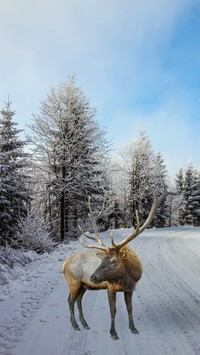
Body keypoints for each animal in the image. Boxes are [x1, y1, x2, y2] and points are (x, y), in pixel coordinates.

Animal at [61, 185, 173, 340]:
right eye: (102, 259)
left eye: (114, 261)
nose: (93, 277)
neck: (125, 277)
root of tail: (64, 264)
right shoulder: (110, 287)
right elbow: (113, 310)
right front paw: (113, 333)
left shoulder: (130, 288)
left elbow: (129, 308)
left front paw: (133, 328)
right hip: (74, 282)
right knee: (70, 301)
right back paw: (75, 325)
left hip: (83, 285)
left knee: (78, 300)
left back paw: (85, 324)